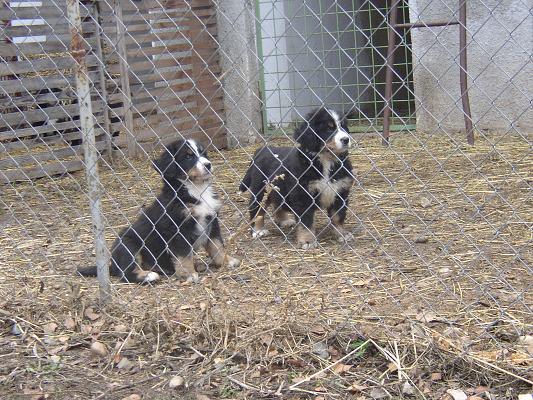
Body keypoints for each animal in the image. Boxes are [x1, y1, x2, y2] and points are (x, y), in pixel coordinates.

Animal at [78, 139, 240, 283]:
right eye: (188, 157)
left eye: (203, 153)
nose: (208, 165)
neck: (196, 190)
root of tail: (112, 265)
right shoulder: (176, 228)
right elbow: (184, 254)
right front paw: (188, 273)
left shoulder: (212, 220)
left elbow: (217, 245)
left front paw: (226, 260)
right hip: (128, 244)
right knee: (126, 273)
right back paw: (149, 276)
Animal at [239, 108, 355, 249]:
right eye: (329, 128)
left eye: (343, 126)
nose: (346, 139)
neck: (326, 160)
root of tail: (263, 149)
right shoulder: (303, 195)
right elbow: (306, 221)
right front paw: (307, 241)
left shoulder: (341, 192)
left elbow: (338, 216)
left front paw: (342, 234)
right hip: (260, 189)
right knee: (256, 208)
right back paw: (258, 230)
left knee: (277, 202)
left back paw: (284, 220)